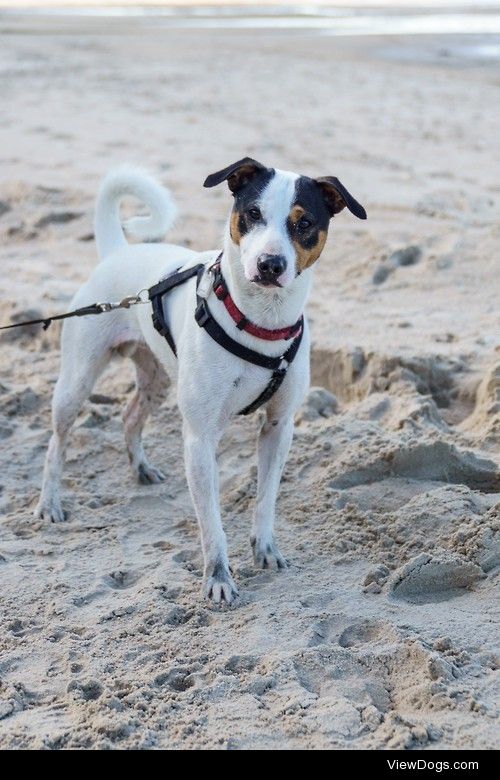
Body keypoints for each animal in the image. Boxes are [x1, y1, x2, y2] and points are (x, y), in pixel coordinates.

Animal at [33, 157, 366, 604]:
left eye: (305, 222)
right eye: (253, 214)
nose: (270, 265)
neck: (260, 323)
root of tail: (120, 251)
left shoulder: (279, 428)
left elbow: (266, 498)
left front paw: (265, 549)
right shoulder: (201, 438)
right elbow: (211, 523)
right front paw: (218, 577)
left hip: (157, 376)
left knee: (130, 416)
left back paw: (141, 468)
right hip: (77, 379)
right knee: (58, 442)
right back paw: (49, 503)